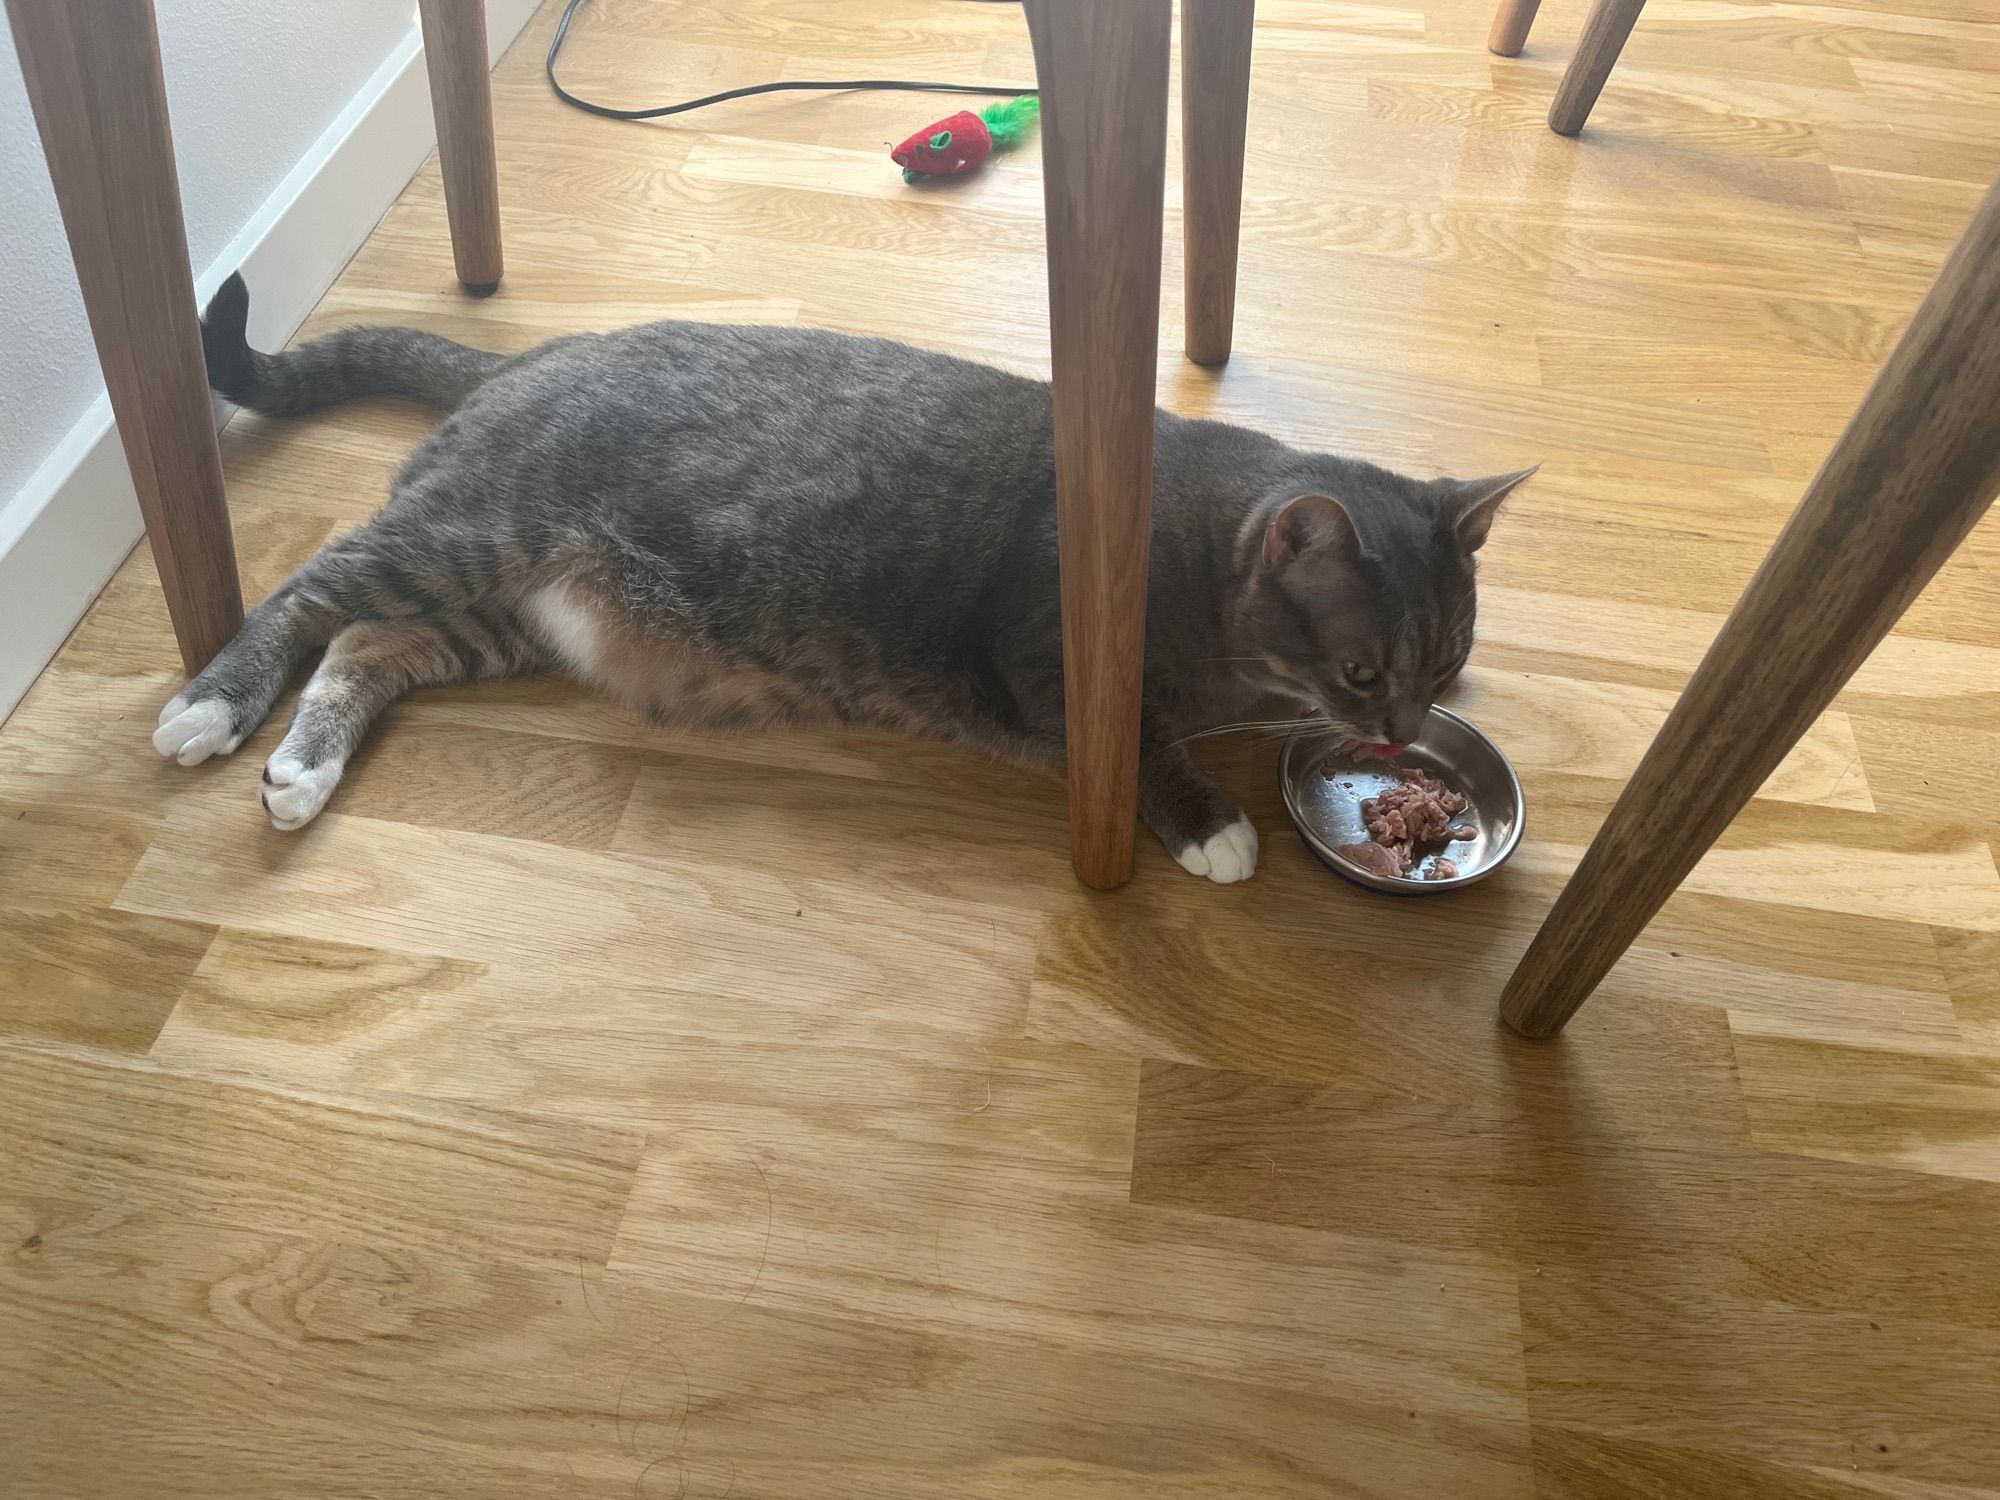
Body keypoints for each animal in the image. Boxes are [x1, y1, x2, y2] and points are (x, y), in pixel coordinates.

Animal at [160, 274, 1528, 880]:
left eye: (1443, 661)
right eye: (1360, 667)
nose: (1401, 728)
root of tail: (534, 354)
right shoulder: (1047, 666)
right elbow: (1135, 744)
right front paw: (1209, 824)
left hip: (498, 614)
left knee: (366, 648)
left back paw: (301, 770)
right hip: (468, 534)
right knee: (310, 592)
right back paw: (210, 708)